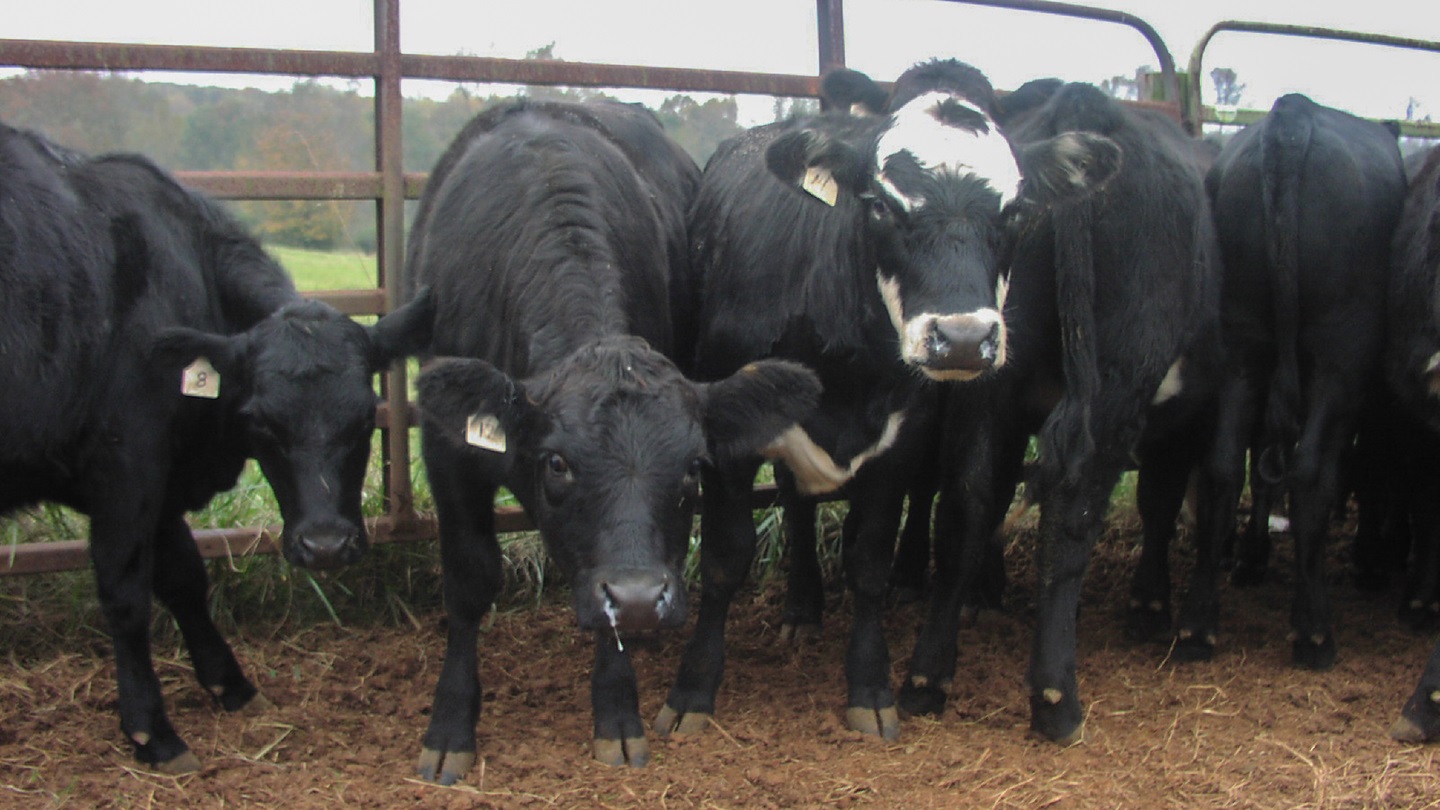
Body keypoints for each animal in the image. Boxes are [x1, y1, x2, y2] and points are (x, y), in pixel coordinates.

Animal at [0, 122, 434, 772]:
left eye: (364, 417)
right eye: (262, 423)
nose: (325, 546)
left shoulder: (159, 476)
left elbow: (183, 577)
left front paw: (232, 685)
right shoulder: (126, 465)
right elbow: (126, 593)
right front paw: (153, 730)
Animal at [405, 98, 820, 783]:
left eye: (691, 468)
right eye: (557, 463)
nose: (639, 598)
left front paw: (618, 716)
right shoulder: (447, 454)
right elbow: (468, 582)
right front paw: (449, 729)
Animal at [653, 59, 1121, 745]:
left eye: (1015, 211)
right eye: (879, 205)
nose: (962, 337)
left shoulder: (902, 438)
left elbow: (869, 560)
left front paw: (871, 687)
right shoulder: (729, 442)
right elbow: (723, 559)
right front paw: (692, 690)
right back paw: (802, 609)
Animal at [894, 80, 1226, 746]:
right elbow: (1195, 499)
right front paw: (1177, 618)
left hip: (989, 376)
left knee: (968, 503)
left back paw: (926, 678)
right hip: (1118, 380)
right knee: (1073, 513)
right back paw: (1055, 697)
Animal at [1197, 93, 1405, 670]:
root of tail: (1294, 116)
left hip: (1241, 341)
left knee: (1226, 465)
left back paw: (1199, 625)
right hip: (1342, 354)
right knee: (1311, 472)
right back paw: (1314, 633)